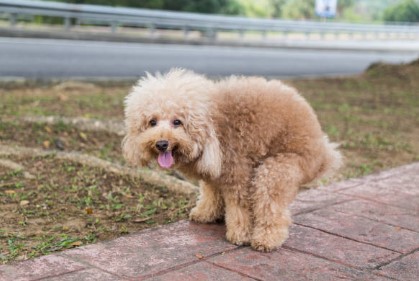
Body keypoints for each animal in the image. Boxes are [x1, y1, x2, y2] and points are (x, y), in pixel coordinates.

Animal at [123, 68, 342, 252]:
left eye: (177, 122)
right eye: (152, 122)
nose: (161, 144)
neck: (213, 123)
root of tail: (324, 152)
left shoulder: (237, 171)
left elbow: (239, 206)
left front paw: (240, 234)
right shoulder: (213, 172)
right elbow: (211, 193)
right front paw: (206, 214)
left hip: (279, 168)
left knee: (270, 204)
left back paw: (266, 239)